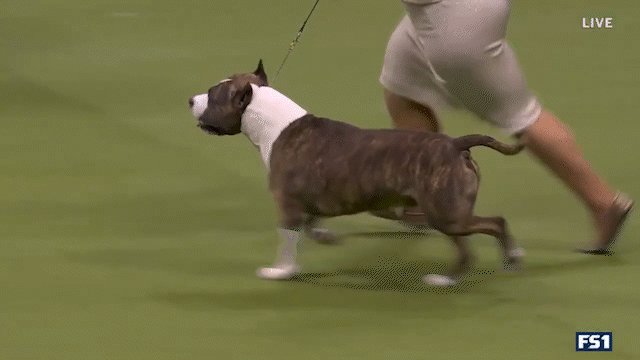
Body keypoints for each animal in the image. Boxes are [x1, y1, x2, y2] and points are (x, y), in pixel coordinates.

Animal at [186, 62, 524, 286]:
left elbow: (287, 239)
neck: (274, 123)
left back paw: (480, 268)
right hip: (443, 212)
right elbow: (310, 227)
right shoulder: (310, 201)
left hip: (446, 213)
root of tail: (456, 144)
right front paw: (325, 237)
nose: (190, 99)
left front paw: (281, 271)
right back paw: (477, 270)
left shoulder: (287, 205)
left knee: (490, 225)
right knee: (478, 237)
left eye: (213, 95)